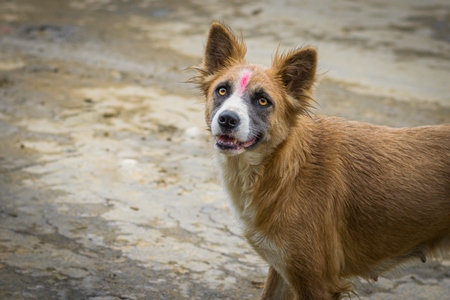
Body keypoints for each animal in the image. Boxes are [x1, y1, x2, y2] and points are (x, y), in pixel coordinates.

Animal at [190, 22, 450, 298]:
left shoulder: (316, 281)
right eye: (222, 90)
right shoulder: (284, 269)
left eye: (263, 101)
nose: (227, 119)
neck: (285, 169)